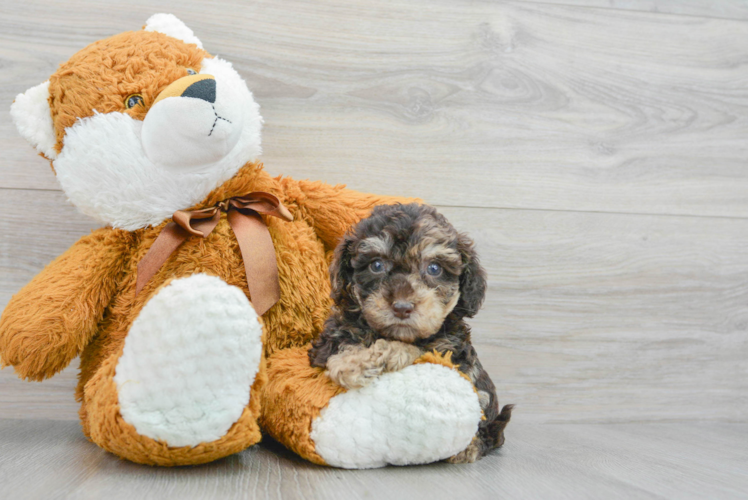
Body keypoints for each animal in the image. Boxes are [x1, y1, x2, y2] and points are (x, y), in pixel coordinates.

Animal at [306, 203, 512, 464]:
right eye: (376, 265)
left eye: (434, 268)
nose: (402, 307)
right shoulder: (326, 344)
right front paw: (355, 362)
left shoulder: (451, 354)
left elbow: (415, 348)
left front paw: (358, 363)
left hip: (483, 399)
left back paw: (468, 448)